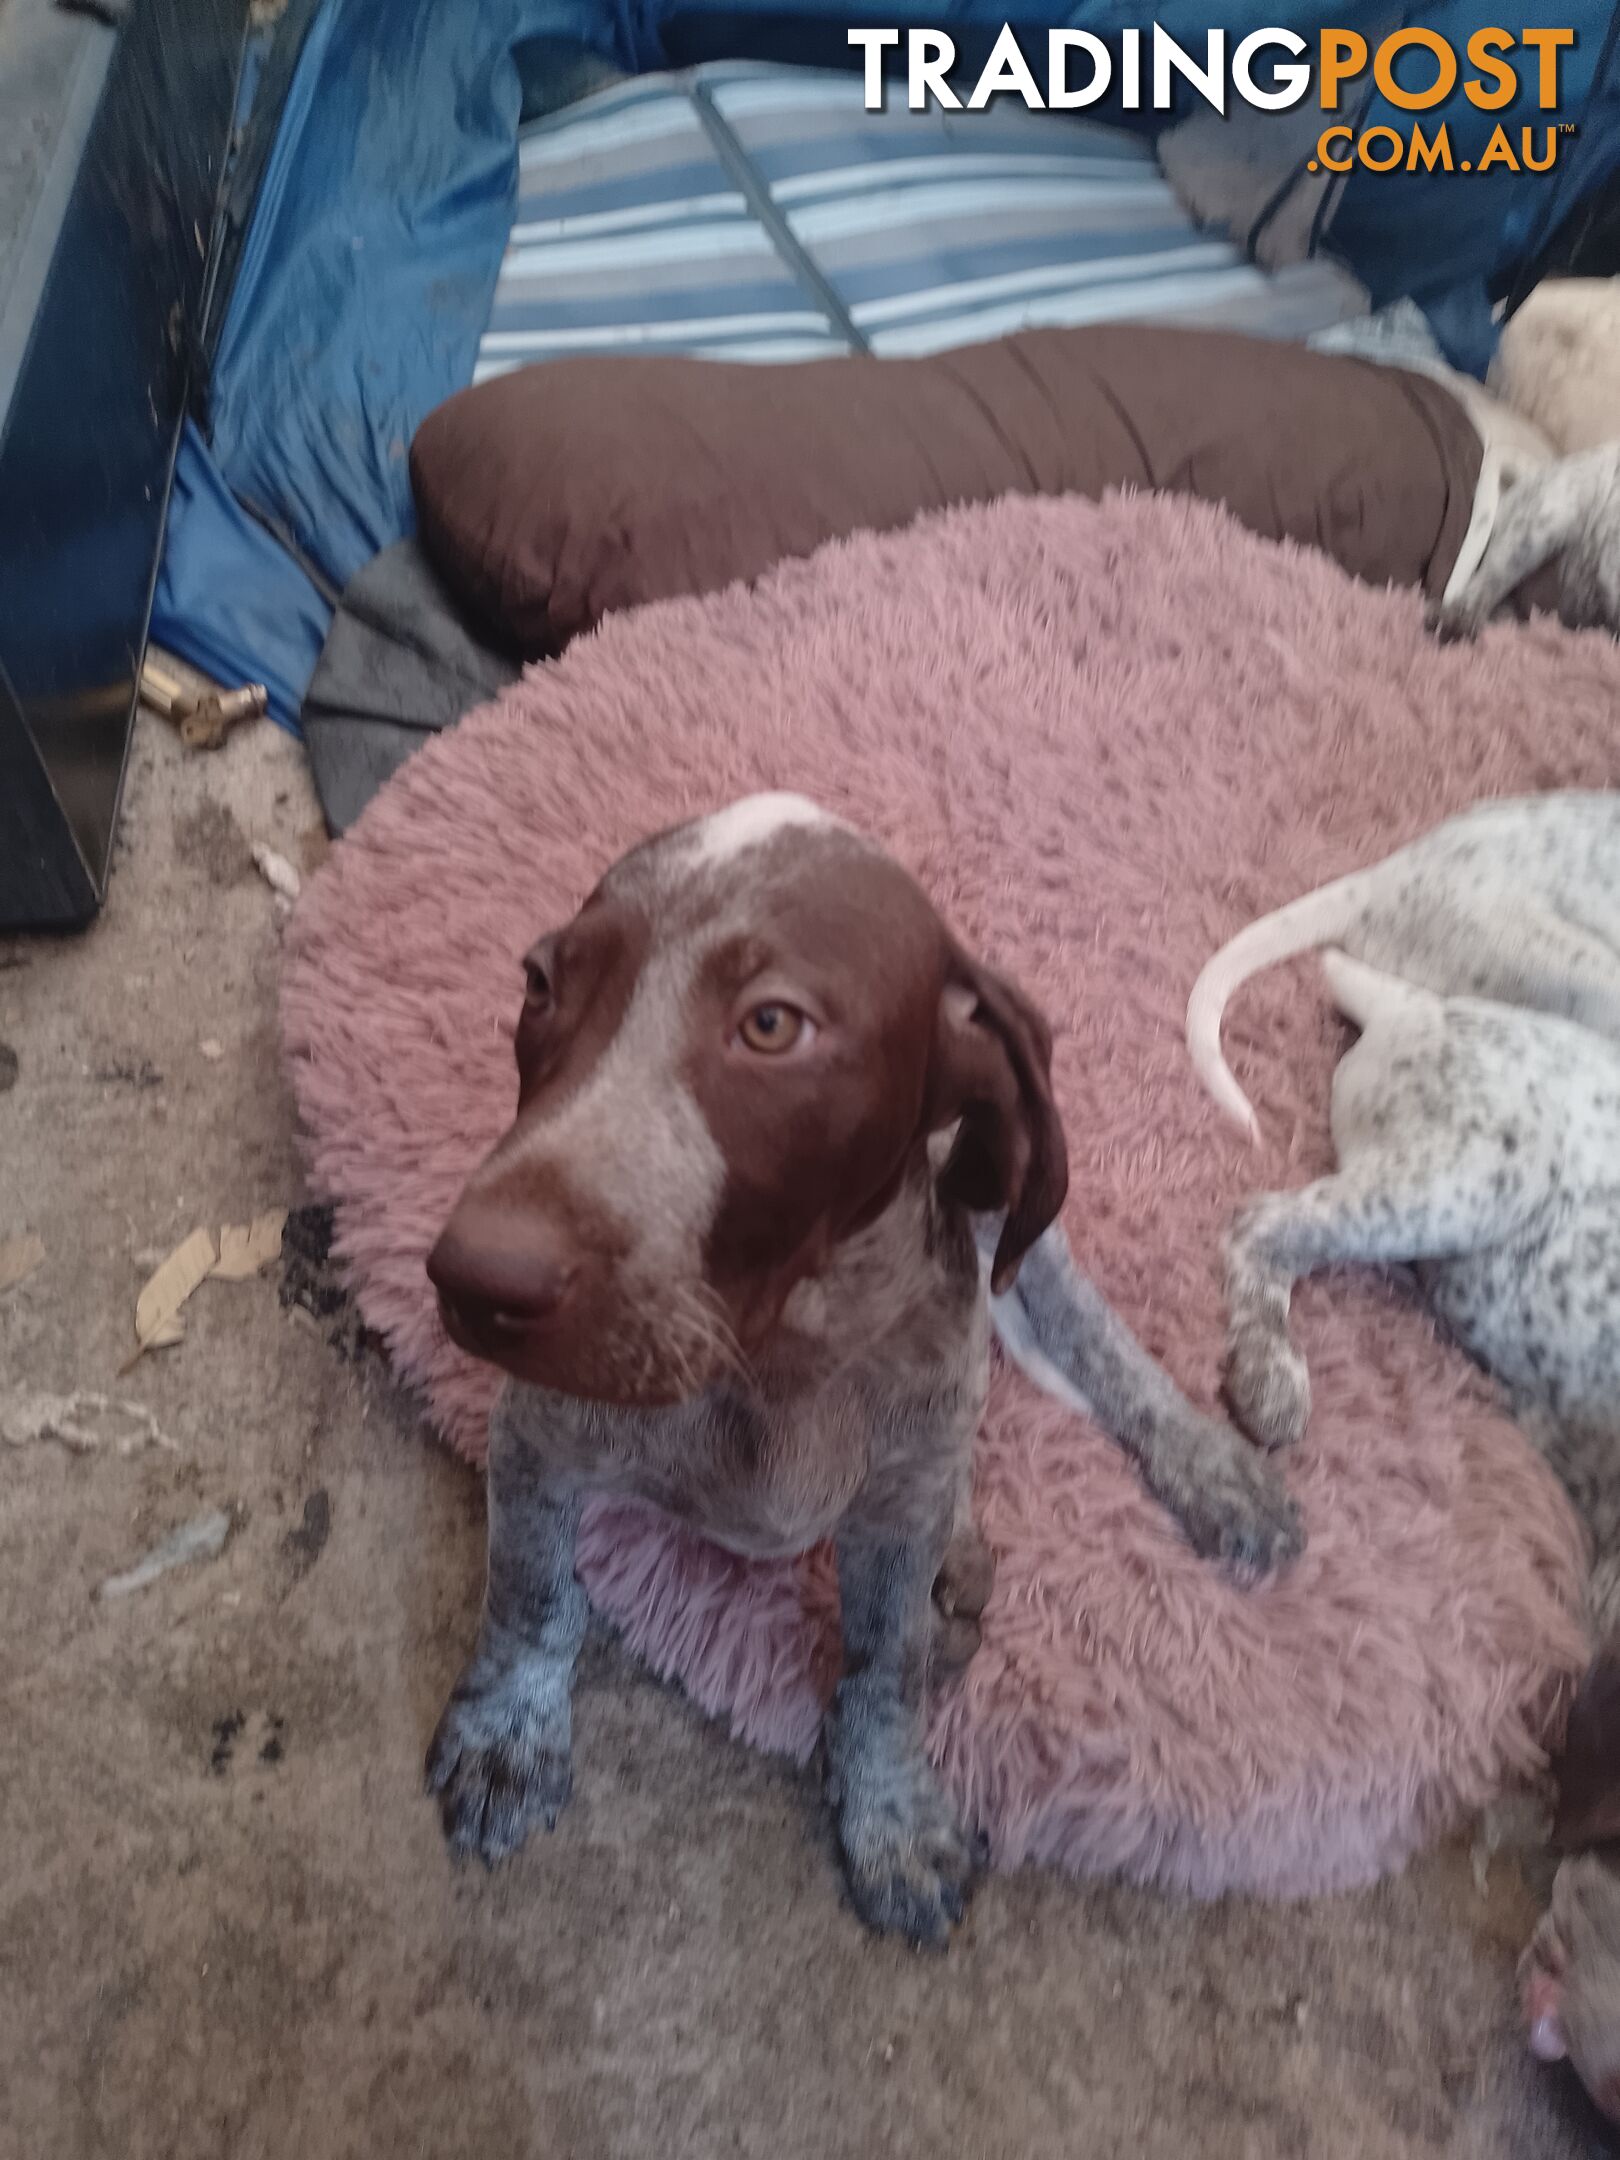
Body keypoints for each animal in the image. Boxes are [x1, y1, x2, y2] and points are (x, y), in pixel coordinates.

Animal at [421, 794, 1304, 1944]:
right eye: (540, 986)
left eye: (772, 1025)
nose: (472, 1280)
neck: (774, 1357)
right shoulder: (537, 1438)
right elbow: (531, 1592)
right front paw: (507, 1728)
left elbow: (886, 1667)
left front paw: (890, 1809)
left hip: (1009, 1212)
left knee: (1087, 1347)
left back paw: (1208, 1472)